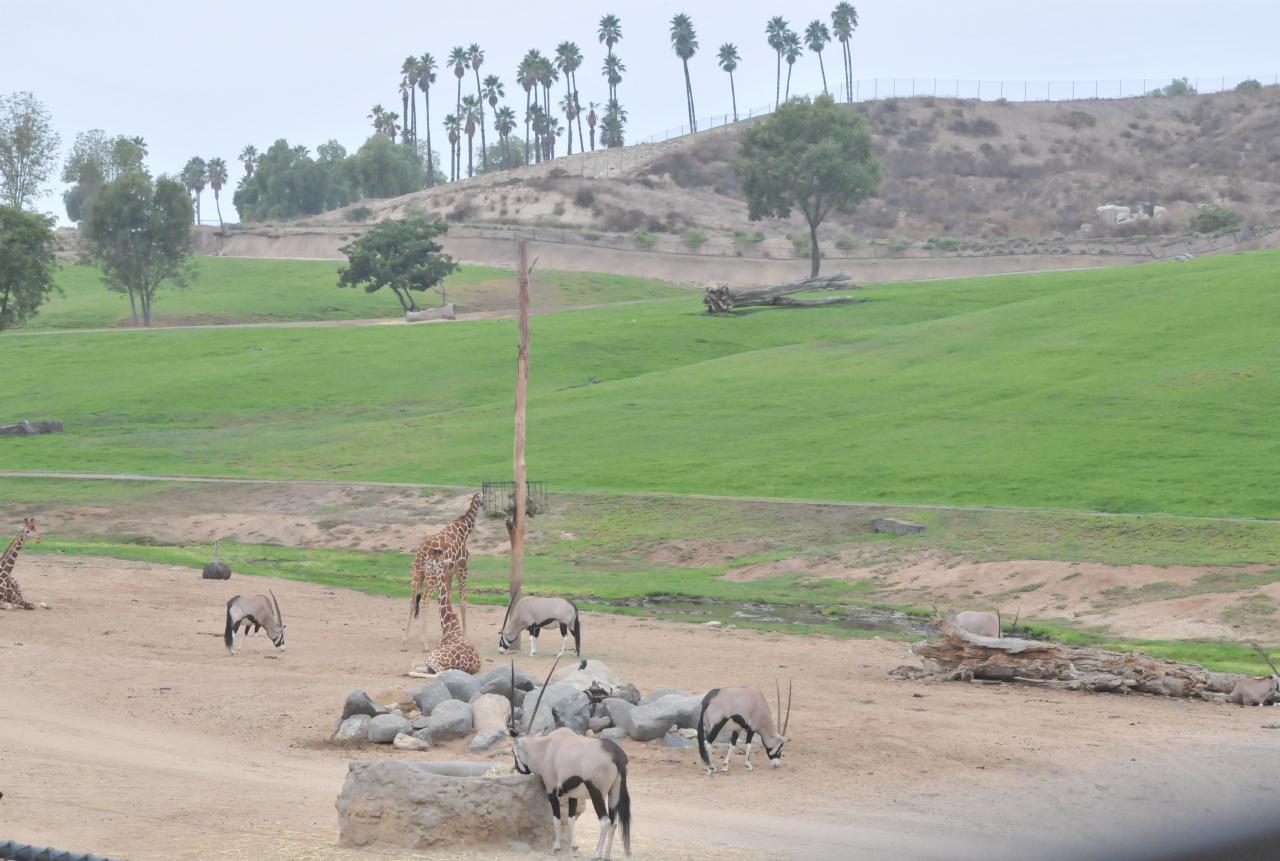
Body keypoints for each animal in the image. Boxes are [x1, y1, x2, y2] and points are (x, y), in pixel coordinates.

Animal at [401, 491, 481, 652]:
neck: (464, 530)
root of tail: (420, 554)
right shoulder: (462, 568)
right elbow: (463, 601)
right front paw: (465, 636)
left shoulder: (448, 572)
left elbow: (447, 598)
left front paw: (446, 634)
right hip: (431, 576)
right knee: (425, 600)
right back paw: (424, 642)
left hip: (417, 574)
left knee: (412, 600)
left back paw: (405, 640)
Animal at [506, 660, 632, 854]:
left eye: (513, 751)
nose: (518, 771)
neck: (545, 748)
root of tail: (616, 756)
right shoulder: (573, 793)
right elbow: (571, 818)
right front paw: (573, 846)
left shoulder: (551, 790)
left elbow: (557, 818)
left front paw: (556, 847)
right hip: (614, 793)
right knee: (614, 823)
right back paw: (606, 855)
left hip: (597, 792)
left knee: (605, 822)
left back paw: (596, 854)